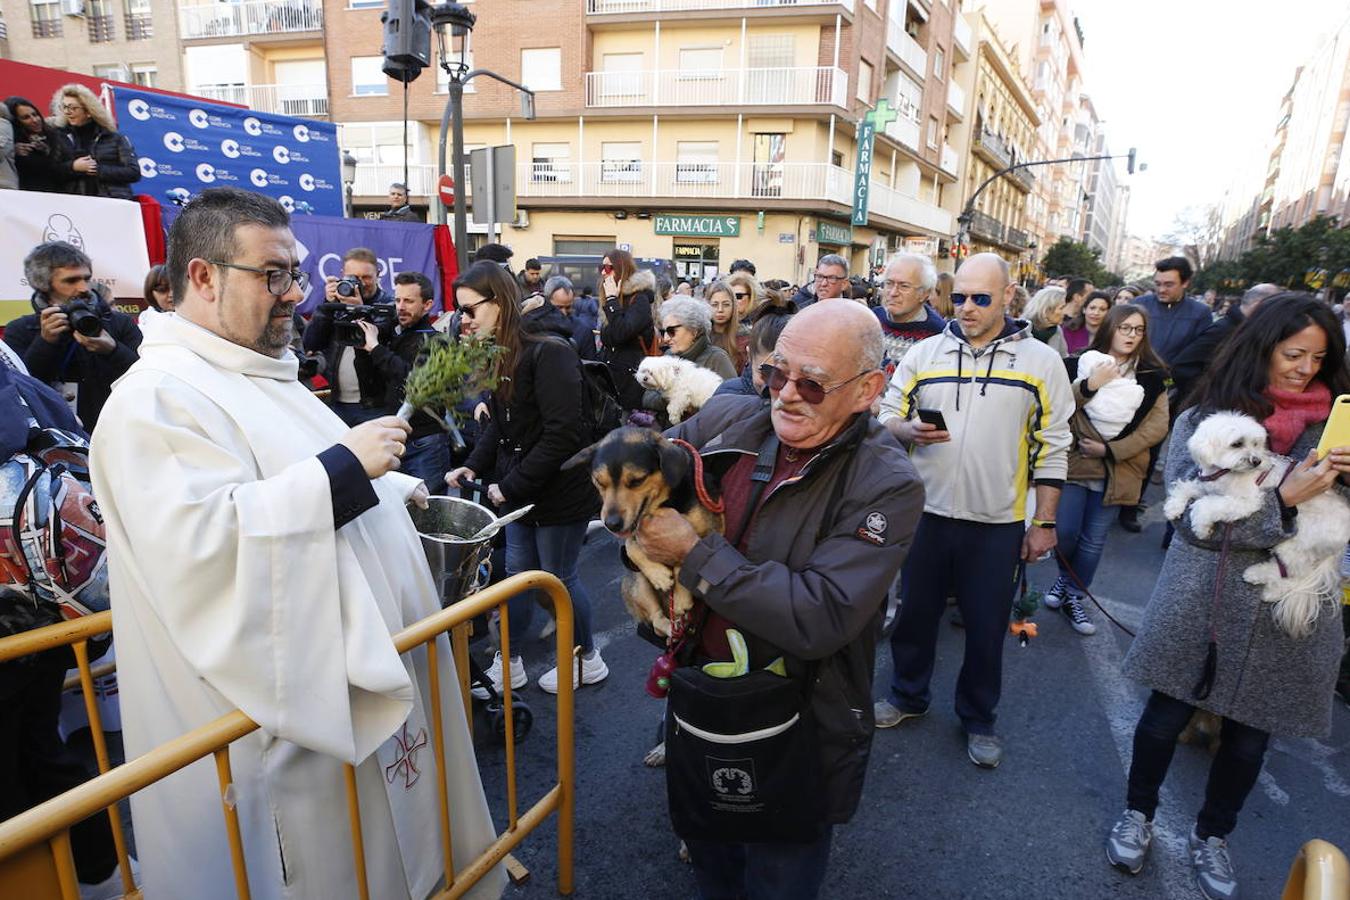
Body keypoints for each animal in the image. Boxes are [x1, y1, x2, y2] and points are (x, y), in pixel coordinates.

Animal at [564, 429, 723, 634]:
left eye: (637, 481)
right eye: (599, 482)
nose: (611, 524)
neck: (662, 505)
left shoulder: (713, 530)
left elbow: (684, 560)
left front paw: (681, 597)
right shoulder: (632, 532)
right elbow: (631, 545)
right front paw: (658, 575)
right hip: (637, 581)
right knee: (656, 621)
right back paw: (674, 628)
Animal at [1161, 412, 1350, 636]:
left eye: (1256, 443)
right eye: (1237, 444)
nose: (1257, 461)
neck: (1225, 473)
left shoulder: (1246, 501)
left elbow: (1206, 505)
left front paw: (1201, 527)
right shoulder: (1208, 486)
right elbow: (1187, 487)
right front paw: (1173, 507)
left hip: (1298, 542)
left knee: (1295, 574)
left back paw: (1264, 583)